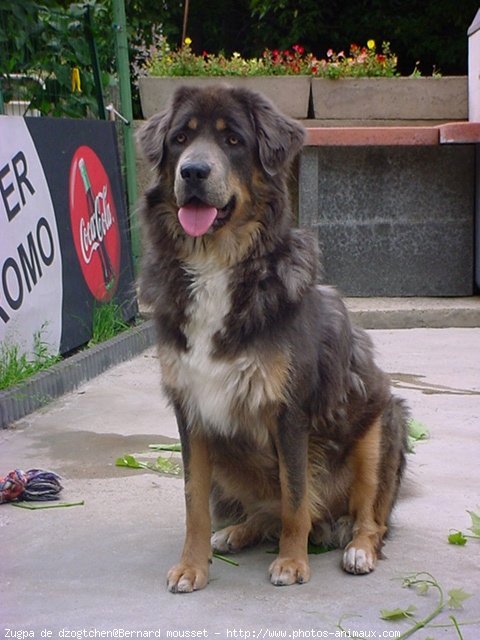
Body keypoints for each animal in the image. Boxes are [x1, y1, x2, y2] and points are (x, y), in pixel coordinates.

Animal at [137, 86, 406, 596]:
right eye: (181, 138)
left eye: (233, 140)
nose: (193, 172)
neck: (218, 264)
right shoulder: (192, 411)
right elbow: (194, 501)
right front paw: (192, 566)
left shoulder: (289, 411)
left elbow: (296, 494)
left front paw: (292, 562)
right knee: (266, 512)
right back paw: (238, 531)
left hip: (380, 426)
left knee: (371, 517)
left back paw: (358, 549)